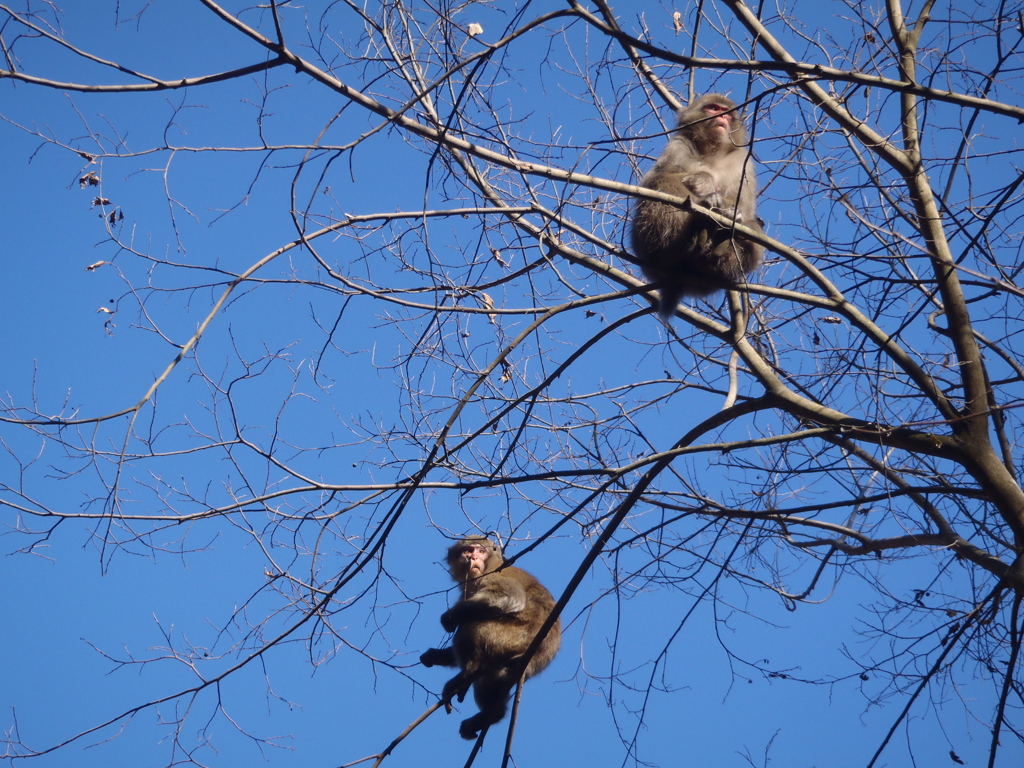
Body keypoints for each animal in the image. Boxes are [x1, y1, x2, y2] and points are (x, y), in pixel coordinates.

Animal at [415, 536, 561, 741]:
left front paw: (449, 618)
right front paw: (433, 656)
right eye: (467, 550)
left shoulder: (493, 576)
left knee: (471, 625)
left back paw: (469, 672)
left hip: (507, 638)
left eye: (481, 551)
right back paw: (491, 714)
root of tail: (538, 656)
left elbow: (511, 597)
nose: (473, 557)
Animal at [626, 94, 765, 319]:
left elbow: (744, 207)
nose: (721, 117)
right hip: (644, 247)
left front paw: (730, 212)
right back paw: (698, 231)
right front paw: (706, 183)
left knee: (754, 227)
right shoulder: (678, 145)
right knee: (665, 185)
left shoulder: (742, 161)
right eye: (713, 108)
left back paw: (719, 241)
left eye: (726, 112)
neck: (712, 151)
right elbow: (654, 181)